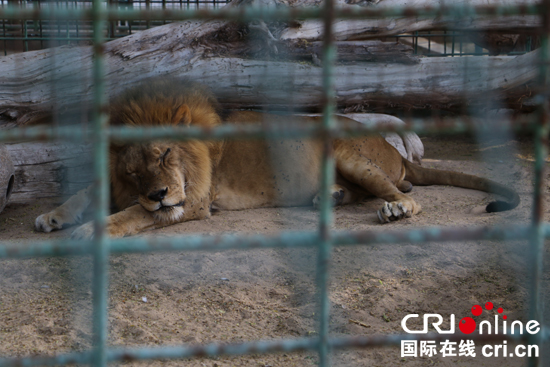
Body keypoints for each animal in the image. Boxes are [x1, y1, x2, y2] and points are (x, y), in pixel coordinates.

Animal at [34, 78, 520, 239]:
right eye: (134, 170)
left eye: (166, 152)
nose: (157, 193)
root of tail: (393, 149)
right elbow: (85, 193)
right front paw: (53, 216)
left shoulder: (193, 202)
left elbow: (131, 215)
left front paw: (89, 232)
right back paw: (330, 198)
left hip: (348, 153)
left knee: (410, 196)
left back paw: (394, 209)